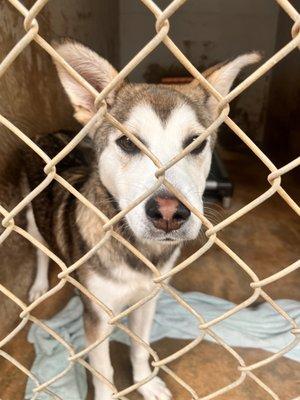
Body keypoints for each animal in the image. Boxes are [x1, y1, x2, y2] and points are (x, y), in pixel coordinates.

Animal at [23, 41, 258, 400]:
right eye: (127, 143)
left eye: (196, 144)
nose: (169, 213)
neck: (138, 250)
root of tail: (52, 132)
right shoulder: (98, 318)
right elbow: (104, 371)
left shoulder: (148, 302)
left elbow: (139, 347)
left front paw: (146, 383)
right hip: (31, 219)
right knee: (38, 251)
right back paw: (38, 285)